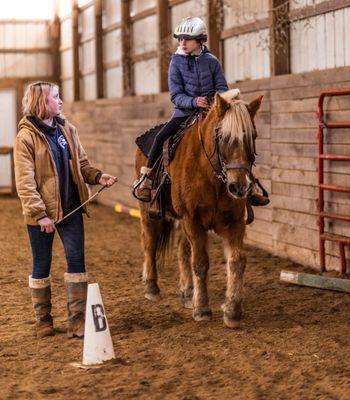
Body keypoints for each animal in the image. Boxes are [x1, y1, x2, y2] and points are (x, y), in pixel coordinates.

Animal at [135, 90, 262, 328]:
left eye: (253, 136)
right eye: (223, 137)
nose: (239, 186)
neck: (211, 176)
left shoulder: (234, 221)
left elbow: (236, 260)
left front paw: (232, 310)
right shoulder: (192, 219)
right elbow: (200, 262)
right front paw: (202, 308)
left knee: (182, 250)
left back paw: (187, 292)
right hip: (150, 213)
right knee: (149, 242)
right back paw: (152, 287)